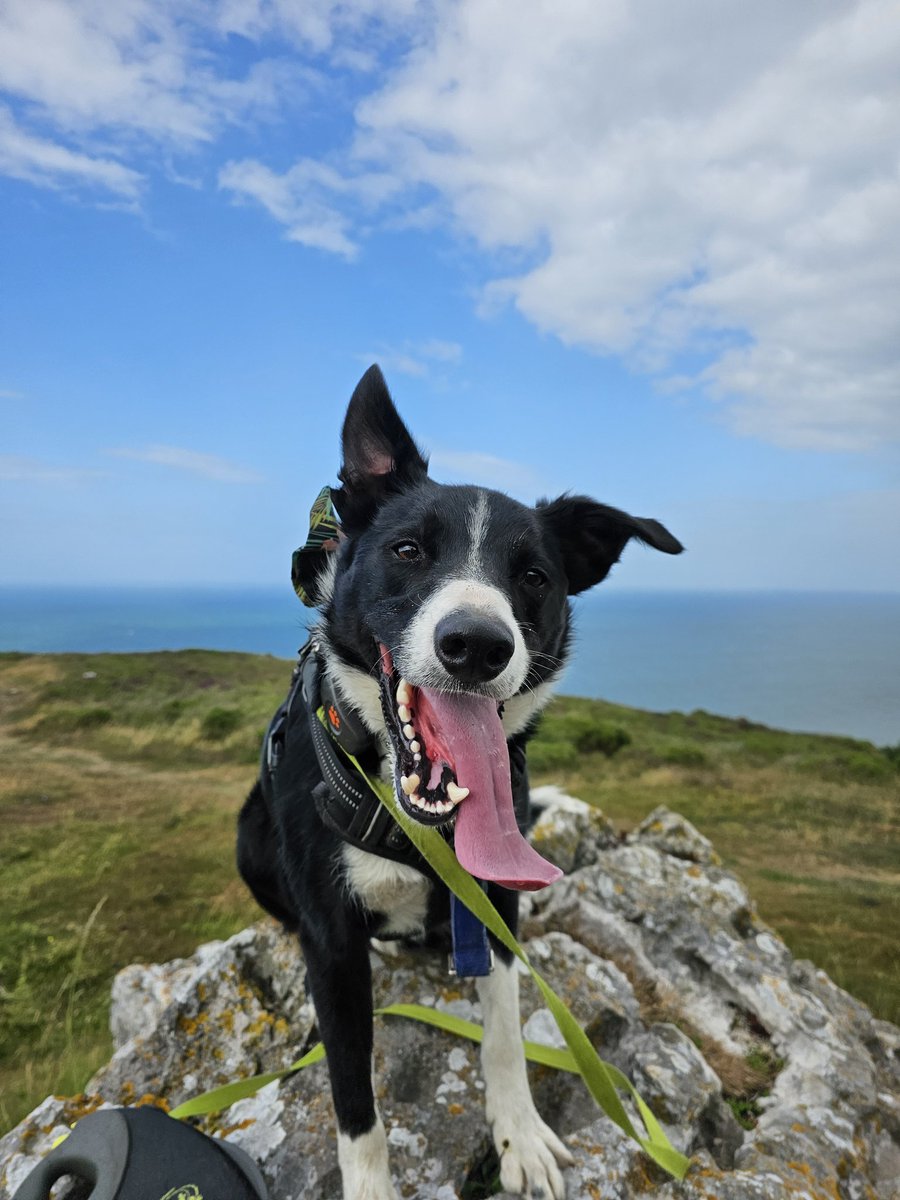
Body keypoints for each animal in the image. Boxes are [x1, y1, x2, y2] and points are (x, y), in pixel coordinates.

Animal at [240, 367, 681, 1200]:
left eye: (534, 576)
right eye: (409, 550)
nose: (476, 644)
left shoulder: (497, 904)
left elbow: (504, 1033)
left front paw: (519, 1136)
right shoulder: (335, 949)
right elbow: (355, 1102)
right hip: (249, 839)